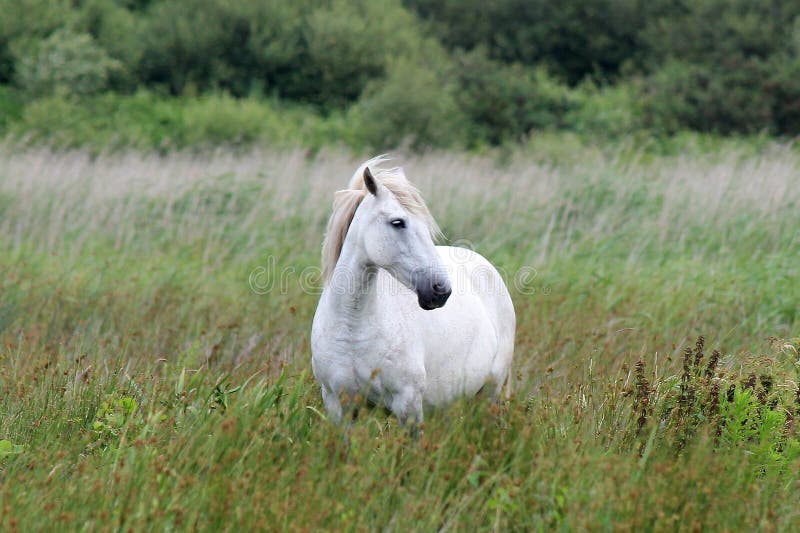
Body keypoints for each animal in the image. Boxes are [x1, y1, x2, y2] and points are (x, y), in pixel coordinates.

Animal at [310, 158, 516, 428]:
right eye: (398, 222)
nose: (441, 291)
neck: (353, 328)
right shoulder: (338, 404)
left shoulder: (408, 405)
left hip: (491, 393)